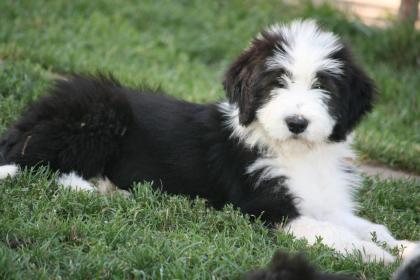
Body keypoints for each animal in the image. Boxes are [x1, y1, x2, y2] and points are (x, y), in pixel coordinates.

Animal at [0, 19, 416, 262]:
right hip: (98, 113)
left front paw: (405, 248)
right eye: (276, 82)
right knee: (40, 166)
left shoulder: (321, 202)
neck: (296, 152)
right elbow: (334, 233)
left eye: (323, 86)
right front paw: (377, 257)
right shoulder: (264, 209)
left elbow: (367, 225)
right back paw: (98, 190)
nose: (297, 122)